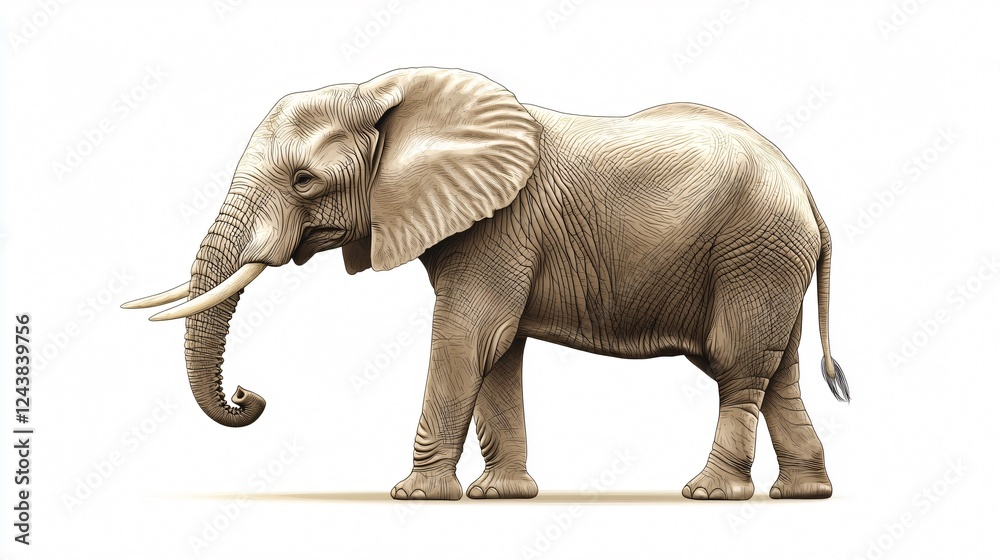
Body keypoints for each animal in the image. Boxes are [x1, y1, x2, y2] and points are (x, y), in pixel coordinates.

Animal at [124, 67, 849, 501]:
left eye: (304, 181)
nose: (248, 395)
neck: (384, 92)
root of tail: (810, 194)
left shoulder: (500, 226)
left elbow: (468, 337)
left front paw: (414, 497)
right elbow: (499, 351)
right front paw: (499, 496)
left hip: (753, 252)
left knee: (737, 364)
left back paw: (707, 494)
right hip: (767, 260)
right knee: (776, 372)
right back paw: (803, 495)